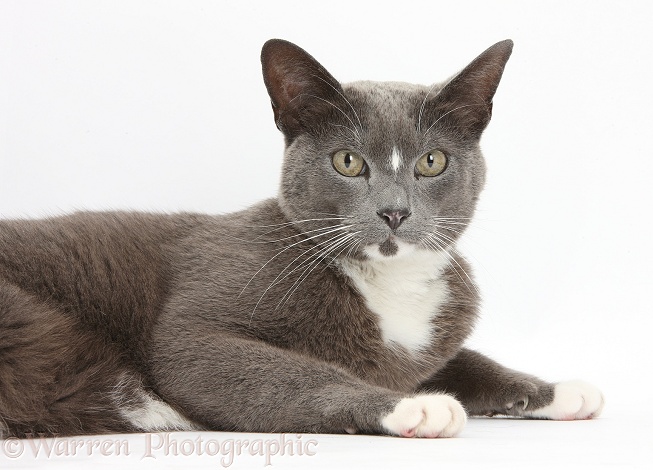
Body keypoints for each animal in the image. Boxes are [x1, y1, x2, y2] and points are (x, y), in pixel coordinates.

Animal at [0, 38, 600, 438]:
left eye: (432, 162)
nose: (394, 212)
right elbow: (285, 370)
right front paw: (411, 406)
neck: (388, 280)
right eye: (347, 161)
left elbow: (469, 361)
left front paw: (558, 391)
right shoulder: (198, 325)